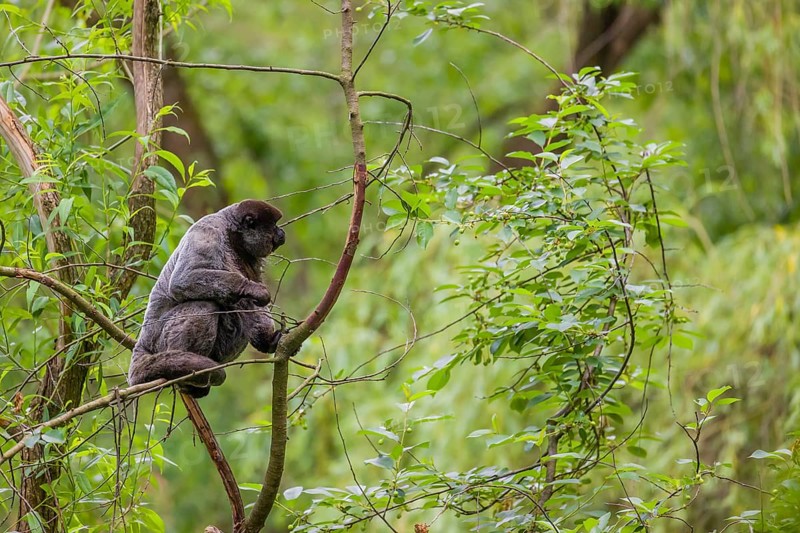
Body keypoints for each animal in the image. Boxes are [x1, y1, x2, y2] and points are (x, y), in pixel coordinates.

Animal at [128, 199, 285, 398]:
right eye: (274, 225)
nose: (281, 232)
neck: (233, 236)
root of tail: (142, 343)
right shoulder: (209, 231)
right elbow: (183, 280)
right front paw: (251, 288)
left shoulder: (251, 257)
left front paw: (268, 340)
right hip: (159, 341)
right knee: (205, 304)